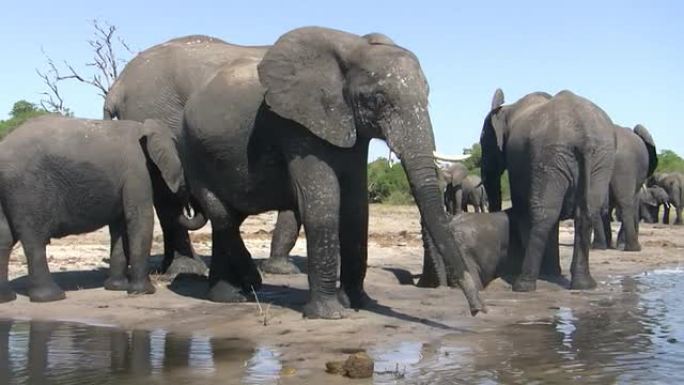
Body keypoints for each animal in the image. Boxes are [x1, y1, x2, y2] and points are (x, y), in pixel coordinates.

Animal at [0, 115, 187, 302]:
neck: (145, 127)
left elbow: (119, 226)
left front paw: (117, 287)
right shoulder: (137, 171)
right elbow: (140, 219)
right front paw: (143, 291)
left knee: (5, 239)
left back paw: (7, 298)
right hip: (27, 188)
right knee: (35, 238)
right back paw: (52, 297)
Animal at [178, 25, 486, 316]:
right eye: (377, 100)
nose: (478, 310)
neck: (353, 49)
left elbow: (356, 207)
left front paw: (359, 303)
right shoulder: (297, 123)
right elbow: (322, 202)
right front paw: (330, 314)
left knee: (226, 218)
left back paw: (228, 296)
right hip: (192, 152)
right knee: (222, 215)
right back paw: (244, 288)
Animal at [478, 88, 616, 292]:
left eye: (483, 143)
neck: (508, 108)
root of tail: (584, 135)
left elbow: (523, 207)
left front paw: (547, 274)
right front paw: (552, 273)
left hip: (551, 155)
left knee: (543, 214)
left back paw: (523, 285)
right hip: (600, 159)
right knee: (587, 213)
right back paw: (584, 285)